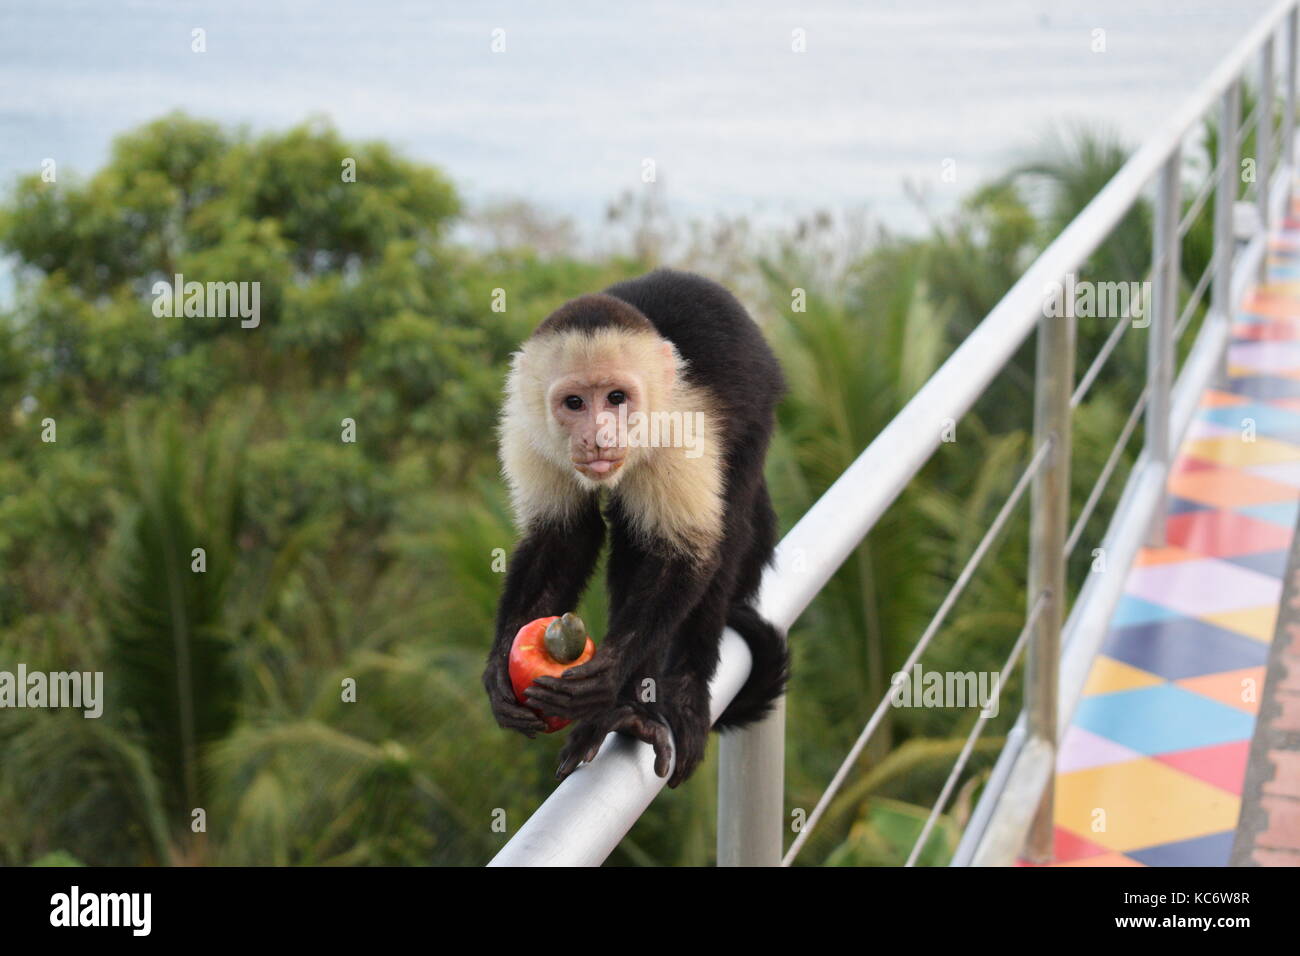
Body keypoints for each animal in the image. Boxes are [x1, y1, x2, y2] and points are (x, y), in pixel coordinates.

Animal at [486, 267, 785, 785]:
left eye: (616, 398)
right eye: (574, 403)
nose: (598, 436)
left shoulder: (683, 430)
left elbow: (684, 556)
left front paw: (611, 673)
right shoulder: (526, 430)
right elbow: (561, 540)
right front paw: (500, 666)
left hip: (760, 407)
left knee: (727, 527)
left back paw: (664, 696)